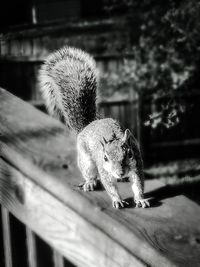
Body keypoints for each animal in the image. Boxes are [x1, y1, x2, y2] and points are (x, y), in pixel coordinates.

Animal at [39, 46, 150, 209]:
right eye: (105, 158)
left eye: (129, 154)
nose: (120, 172)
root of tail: (88, 125)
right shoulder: (104, 171)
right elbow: (110, 186)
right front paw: (117, 199)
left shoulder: (137, 165)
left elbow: (138, 184)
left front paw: (140, 199)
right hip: (86, 159)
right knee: (89, 173)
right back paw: (90, 182)